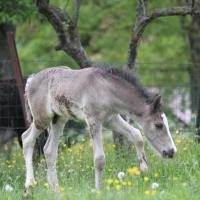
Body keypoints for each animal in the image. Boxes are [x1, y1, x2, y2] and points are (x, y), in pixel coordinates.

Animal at [21, 66, 177, 193]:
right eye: (159, 125)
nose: (171, 152)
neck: (105, 89)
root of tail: (31, 79)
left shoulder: (111, 119)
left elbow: (137, 135)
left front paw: (144, 170)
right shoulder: (94, 120)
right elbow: (99, 158)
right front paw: (98, 190)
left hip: (59, 119)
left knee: (49, 151)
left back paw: (55, 190)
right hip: (42, 118)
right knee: (26, 138)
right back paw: (29, 186)